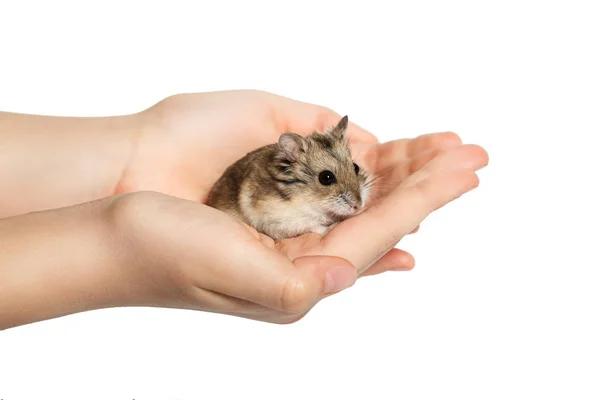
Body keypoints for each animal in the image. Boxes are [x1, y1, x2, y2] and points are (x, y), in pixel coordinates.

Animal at [206, 115, 370, 241]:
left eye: (355, 167)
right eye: (326, 177)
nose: (358, 206)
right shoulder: (282, 222)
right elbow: (315, 226)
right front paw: (331, 228)